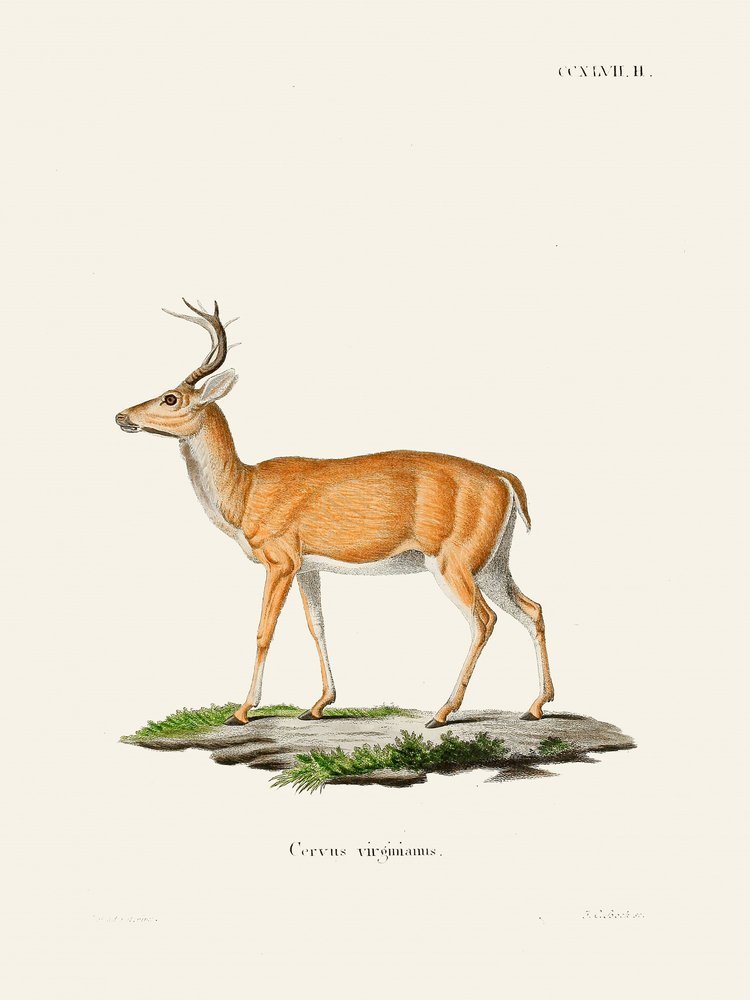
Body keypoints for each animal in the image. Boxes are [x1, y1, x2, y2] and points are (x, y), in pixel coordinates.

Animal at [116, 300, 554, 728]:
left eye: (170, 397)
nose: (121, 416)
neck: (246, 491)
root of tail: (504, 479)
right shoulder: (307, 566)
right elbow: (318, 627)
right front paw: (319, 704)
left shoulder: (279, 559)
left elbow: (263, 631)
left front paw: (241, 711)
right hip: (493, 562)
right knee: (531, 608)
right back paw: (535, 705)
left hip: (454, 561)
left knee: (484, 619)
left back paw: (442, 712)